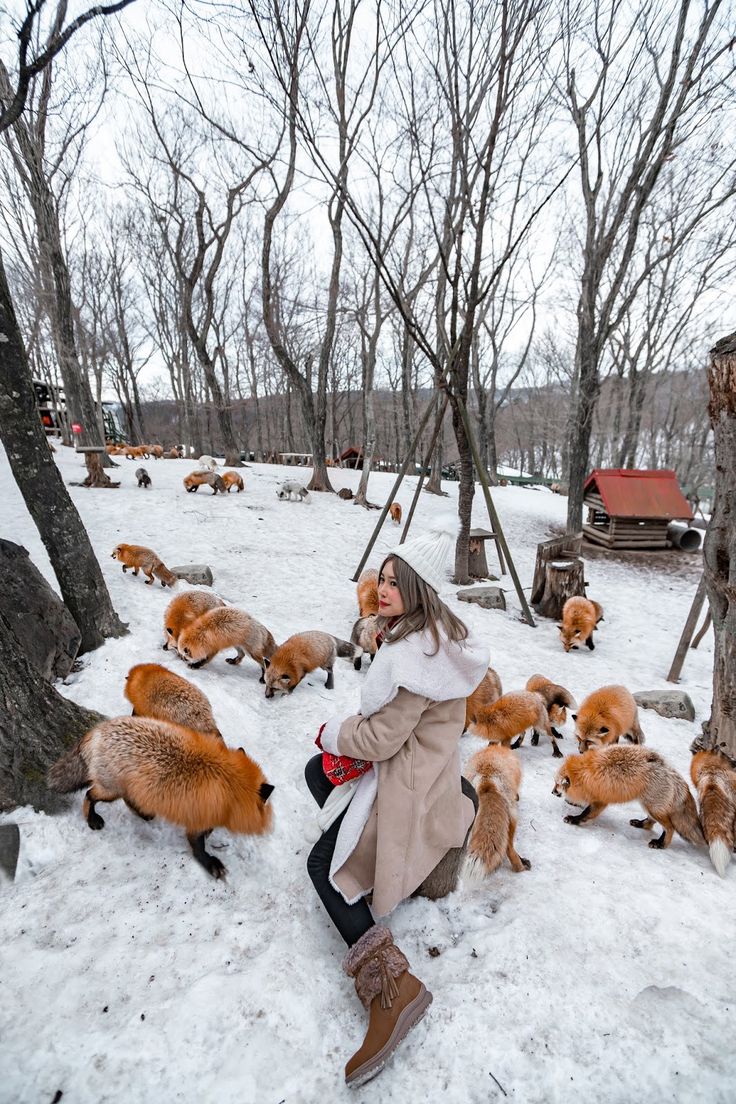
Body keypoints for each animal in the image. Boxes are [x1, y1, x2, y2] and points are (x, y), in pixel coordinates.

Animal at [47, 715, 274, 878]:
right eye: (266, 805)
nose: (270, 826)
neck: (227, 783)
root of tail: (97, 730)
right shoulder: (197, 820)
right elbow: (198, 847)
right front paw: (210, 864)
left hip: (130, 788)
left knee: (127, 800)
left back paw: (143, 814)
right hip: (110, 790)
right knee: (88, 795)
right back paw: (92, 819)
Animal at [551, 746, 701, 847]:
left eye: (557, 784)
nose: (552, 792)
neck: (584, 772)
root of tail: (671, 772)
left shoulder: (600, 801)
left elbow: (586, 813)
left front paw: (574, 819)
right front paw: (573, 803)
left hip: (652, 807)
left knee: (670, 828)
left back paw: (661, 844)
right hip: (648, 805)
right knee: (651, 823)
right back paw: (640, 824)